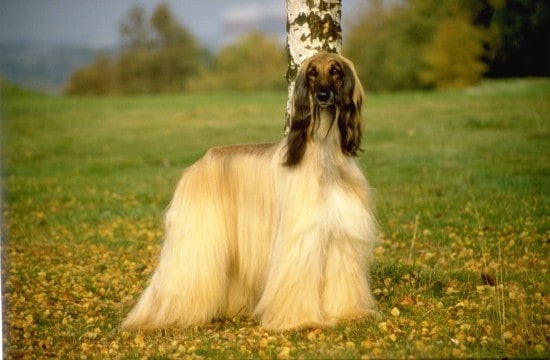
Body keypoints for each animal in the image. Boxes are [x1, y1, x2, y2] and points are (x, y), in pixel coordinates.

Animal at [122, 52, 378, 330]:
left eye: (335, 71)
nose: (323, 95)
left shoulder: (341, 235)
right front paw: (300, 320)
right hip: (195, 235)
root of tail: (201, 160)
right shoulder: (300, 236)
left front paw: (348, 313)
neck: (324, 154)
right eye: (312, 72)